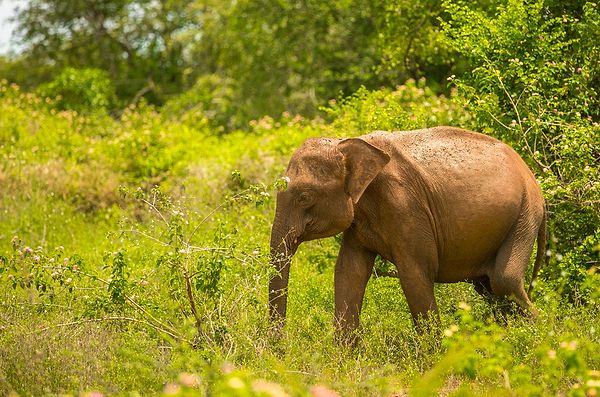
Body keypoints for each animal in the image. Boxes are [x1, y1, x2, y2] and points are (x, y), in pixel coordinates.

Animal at [270, 126, 548, 338]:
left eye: (305, 197)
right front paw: (343, 361)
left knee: (504, 280)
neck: (346, 141)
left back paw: (539, 336)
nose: (280, 347)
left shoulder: (405, 206)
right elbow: (349, 271)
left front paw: (432, 361)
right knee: (489, 287)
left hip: (525, 214)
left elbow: (415, 273)